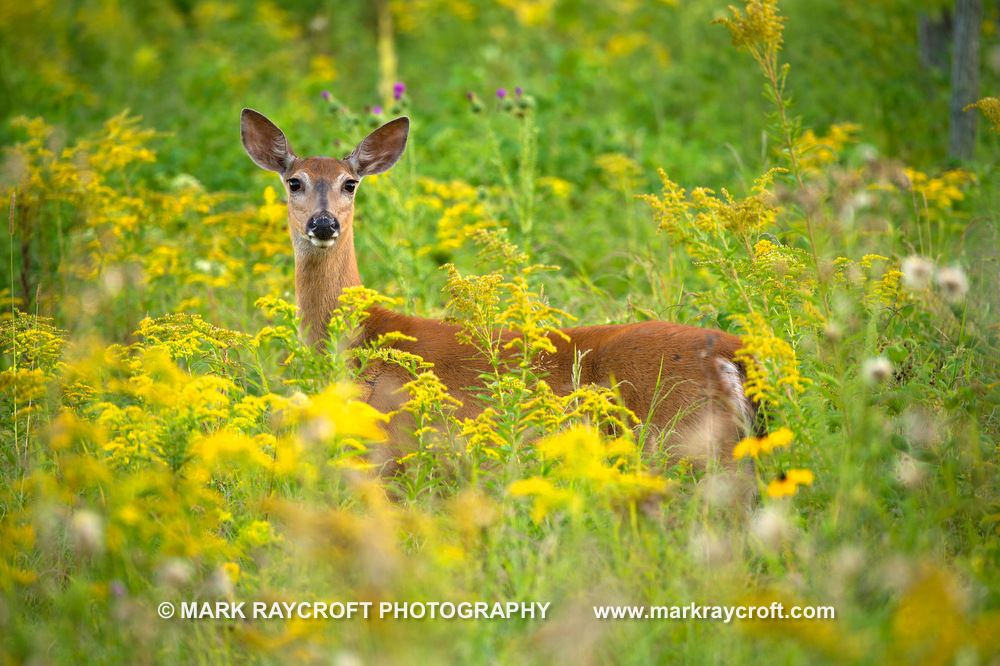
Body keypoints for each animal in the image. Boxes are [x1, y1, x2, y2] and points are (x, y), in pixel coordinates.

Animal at [244, 107, 756, 472]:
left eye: (350, 183)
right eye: (294, 182)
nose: (323, 223)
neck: (360, 341)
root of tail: (735, 352)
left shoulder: (391, 447)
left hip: (682, 440)